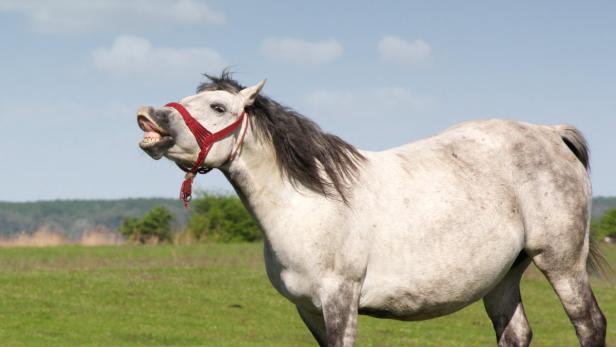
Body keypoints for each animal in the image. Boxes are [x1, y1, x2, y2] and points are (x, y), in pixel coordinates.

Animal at [136, 72, 608, 346]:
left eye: (218, 107)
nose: (149, 117)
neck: (309, 202)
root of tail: (549, 133)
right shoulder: (309, 310)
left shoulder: (339, 300)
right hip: (504, 274)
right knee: (515, 333)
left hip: (561, 263)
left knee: (590, 324)